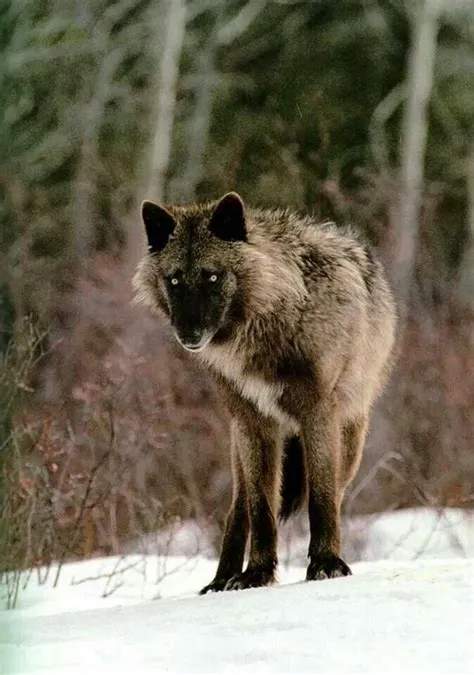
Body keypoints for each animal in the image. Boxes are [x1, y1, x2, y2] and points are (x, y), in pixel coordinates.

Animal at [133, 191, 396, 593]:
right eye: (175, 280)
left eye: (212, 276)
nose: (188, 335)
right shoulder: (254, 423)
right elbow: (260, 509)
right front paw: (256, 573)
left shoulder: (318, 413)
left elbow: (321, 498)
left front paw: (326, 564)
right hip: (240, 446)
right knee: (239, 509)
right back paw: (222, 579)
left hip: (349, 444)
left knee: (333, 493)